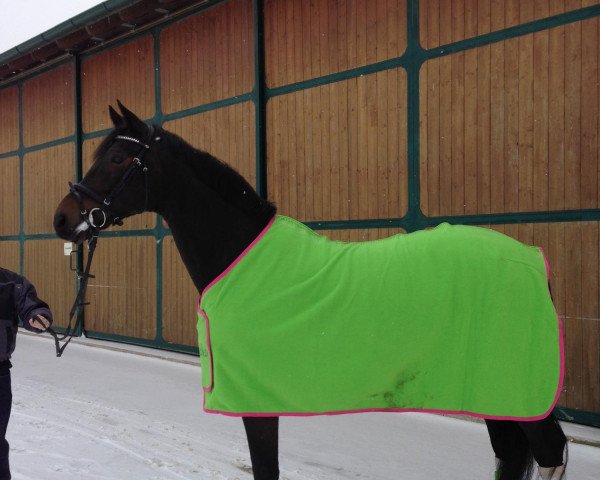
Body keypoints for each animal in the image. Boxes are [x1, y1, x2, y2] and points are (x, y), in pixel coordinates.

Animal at [52, 102, 568, 480]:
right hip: (492, 388)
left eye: (117, 159)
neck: (242, 256)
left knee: (549, 453)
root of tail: (533, 261)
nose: (61, 218)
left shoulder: (256, 398)